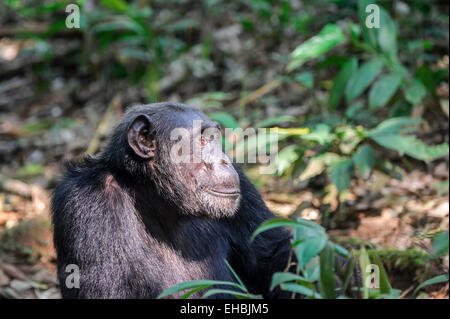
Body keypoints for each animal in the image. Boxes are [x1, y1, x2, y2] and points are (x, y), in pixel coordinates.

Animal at [51, 103, 294, 300]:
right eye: (203, 140)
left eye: (214, 139)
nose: (224, 160)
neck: (157, 200)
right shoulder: (87, 202)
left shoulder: (244, 190)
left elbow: (271, 255)